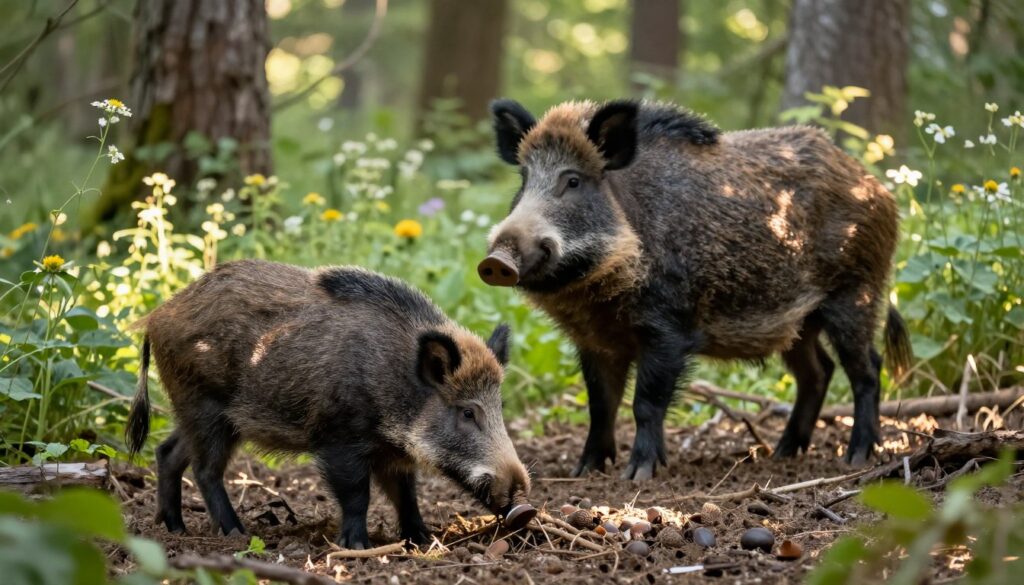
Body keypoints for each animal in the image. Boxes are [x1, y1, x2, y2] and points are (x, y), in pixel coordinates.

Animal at [125, 259, 534, 548]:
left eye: (499, 406)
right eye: (467, 411)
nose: (525, 508)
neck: (395, 382)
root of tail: (157, 316)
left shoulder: (392, 452)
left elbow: (406, 494)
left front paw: (422, 539)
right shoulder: (340, 437)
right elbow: (357, 493)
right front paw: (356, 546)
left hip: (195, 412)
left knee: (168, 452)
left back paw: (175, 529)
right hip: (206, 407)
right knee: (205, 469)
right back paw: (235, 533)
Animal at [479, 99, 912, 480]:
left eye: (572, 180)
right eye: (523, 180)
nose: (496, 261)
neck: (600, 293)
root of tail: (878, 189)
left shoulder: (668, 328)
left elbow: (645, 402)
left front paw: (638, 476)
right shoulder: (596, 342)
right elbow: (600, 405)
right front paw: (584, 471)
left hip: (855, 295)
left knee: (867, 369)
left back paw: (856, 457)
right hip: (800, 321)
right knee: (818, 372)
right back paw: (783, 453)